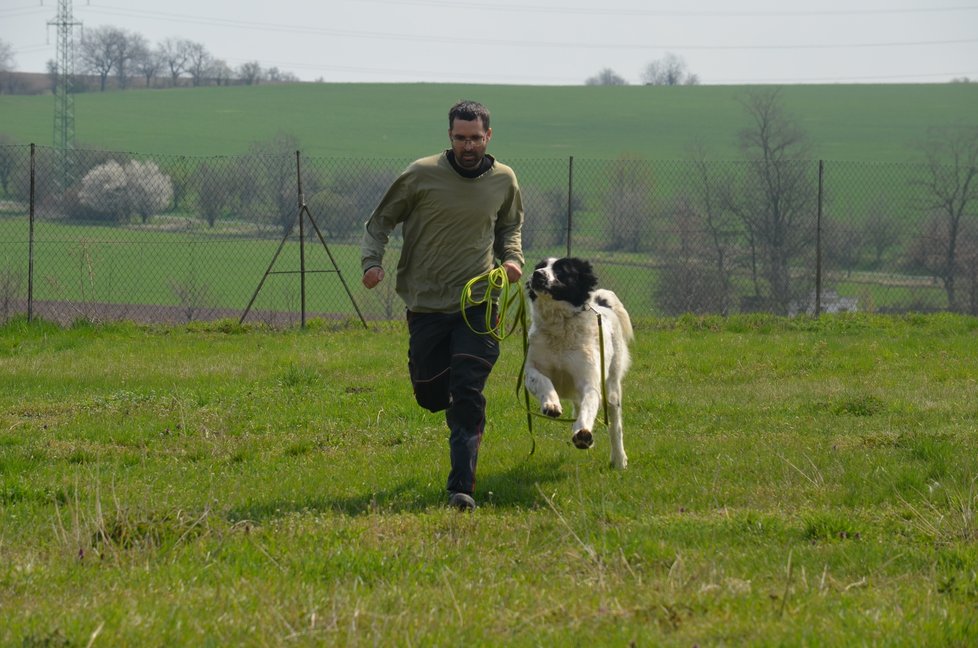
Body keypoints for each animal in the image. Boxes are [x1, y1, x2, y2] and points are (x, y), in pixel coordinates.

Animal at [528, 256, 632, 466]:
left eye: (562, 270)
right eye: (540, 266)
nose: (537, 274)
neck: (559, 326)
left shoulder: (589, 381)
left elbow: (589, 405)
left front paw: (583, 432)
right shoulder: (531, 369)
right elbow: (542, 379)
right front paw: (551, 404)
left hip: (612, 388)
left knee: (615, 426)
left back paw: (619, 460)